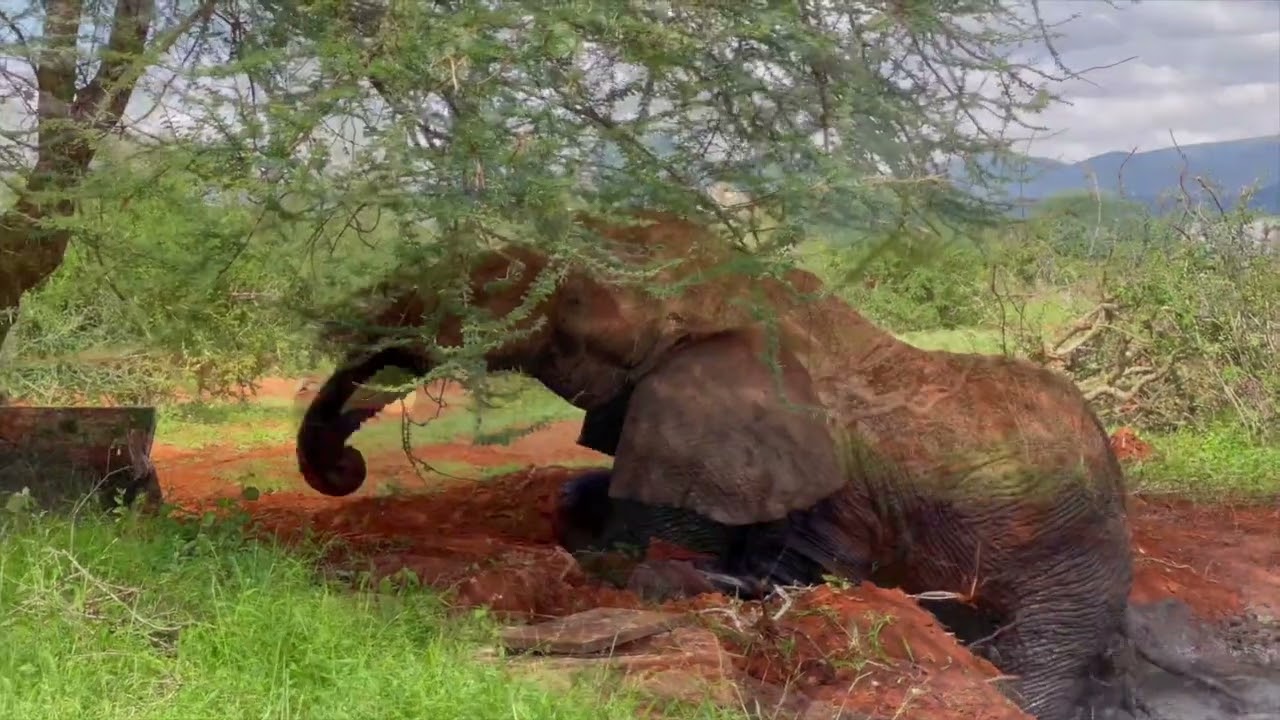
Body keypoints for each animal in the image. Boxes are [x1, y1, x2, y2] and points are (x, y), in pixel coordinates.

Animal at [295, 211, 1134, 720]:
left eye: (568, 313)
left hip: (1064, 545)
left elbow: (639, 558)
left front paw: (726, 582)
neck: (744, 291)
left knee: (1042, 651)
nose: (347, 467)